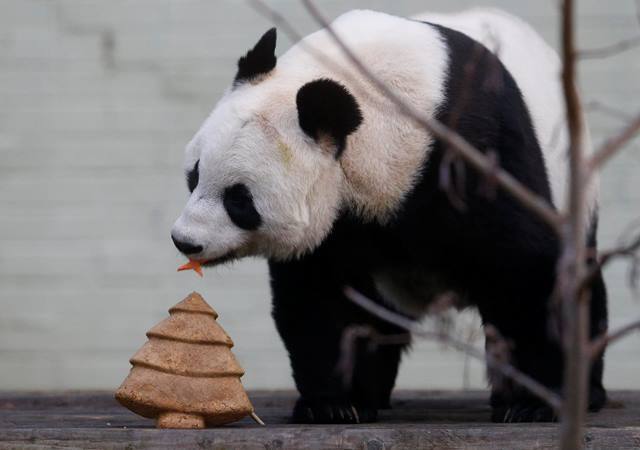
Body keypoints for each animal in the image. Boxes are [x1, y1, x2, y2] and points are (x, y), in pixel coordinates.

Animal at [171, 8, 608, 424]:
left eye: (239, 200)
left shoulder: (474, 151)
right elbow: (324, 299)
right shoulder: (339, 220)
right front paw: (335, 404)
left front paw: (533, 404)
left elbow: (524, 272)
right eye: (194, 175)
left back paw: (588, 392)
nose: (185, 240)